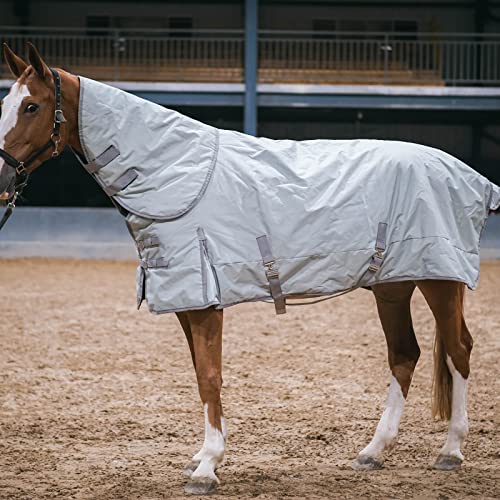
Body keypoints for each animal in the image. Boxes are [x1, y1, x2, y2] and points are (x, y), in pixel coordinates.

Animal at [0, 44, 498, 496]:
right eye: (7, 104)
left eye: (31, 105)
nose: (2, 181)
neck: (174, 171)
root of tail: (469, 176)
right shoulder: (188, 301)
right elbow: (200, 375)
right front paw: (202, 458)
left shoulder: (204, 303)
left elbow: (210, 376)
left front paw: (207, 468)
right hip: (392, 285)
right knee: (404, 354)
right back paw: (373, 452)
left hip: (439, 280)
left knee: (459, 350)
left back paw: (451, 451)